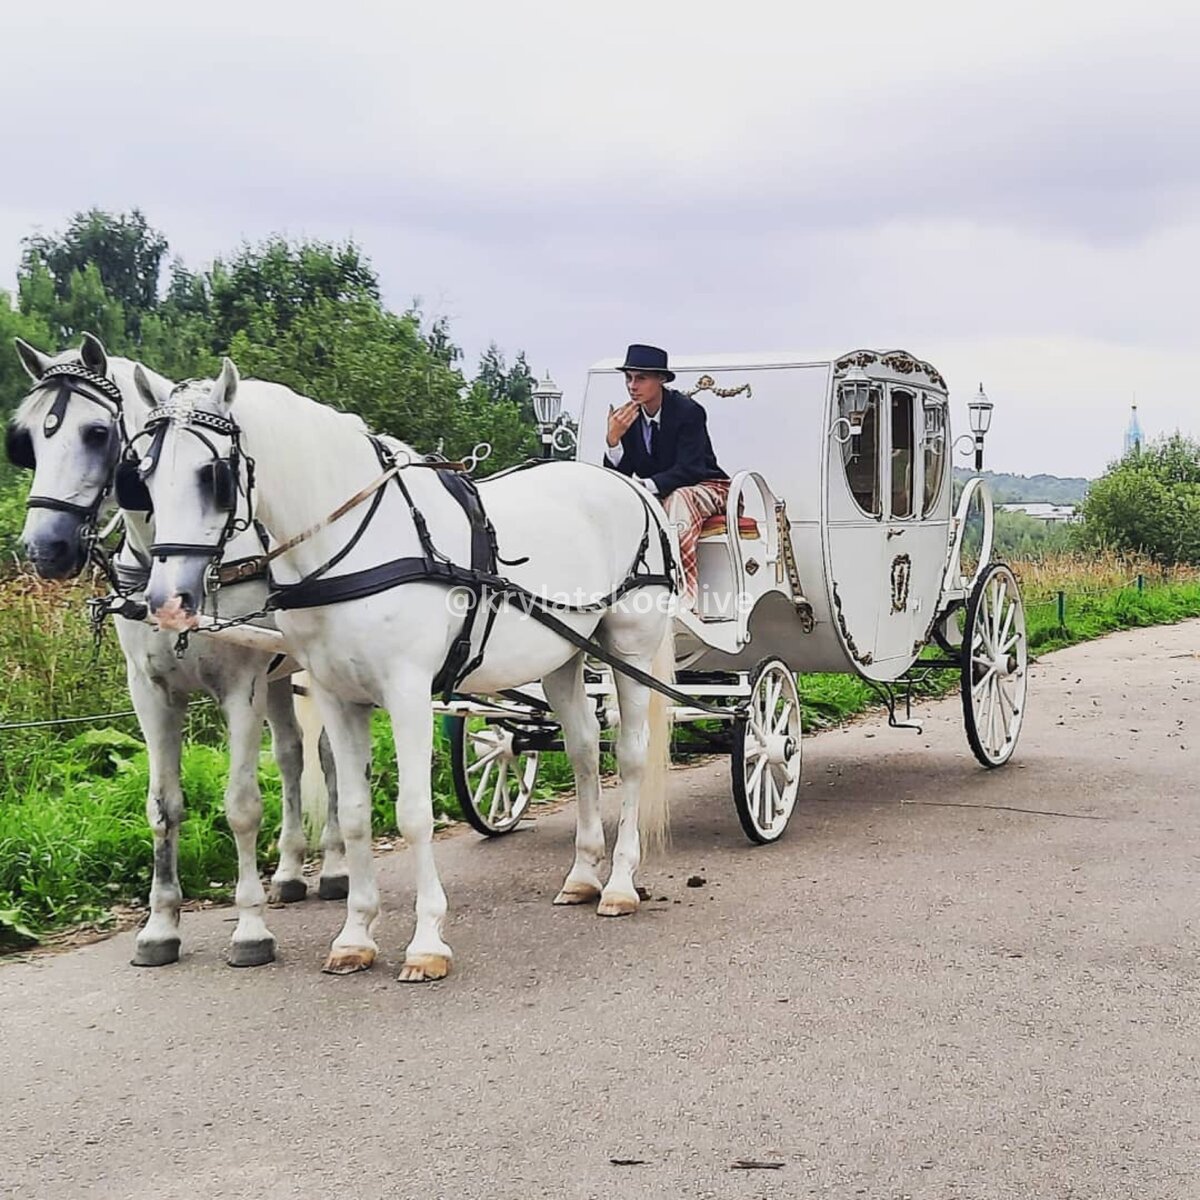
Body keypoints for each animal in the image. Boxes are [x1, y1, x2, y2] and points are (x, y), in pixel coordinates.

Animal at [9, 333, 345, 969]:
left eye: (96, 433)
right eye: (29, 437)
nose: (44, 549)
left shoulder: (240, 688)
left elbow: (241, 804)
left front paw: (250, 929)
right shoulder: (151, 692)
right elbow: (163, 807)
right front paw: (160, 926)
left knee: (326, 758)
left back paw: (336, 867)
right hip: (280, 677)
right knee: (295, 755)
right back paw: (292, 872)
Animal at [133, 357, 676, 984]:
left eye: (213, 475)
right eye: (141, 473)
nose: (167, 602)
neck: (352, 544)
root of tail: (632, 487)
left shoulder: (409, 692)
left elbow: (414, 813)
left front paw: (427, 941)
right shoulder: (336, 696)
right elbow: (354, 813)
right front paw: (354, 936)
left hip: (630, 650)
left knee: (630, 757)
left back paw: (619, 883)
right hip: (564, 655)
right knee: (585, 748)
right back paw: (584, 874)